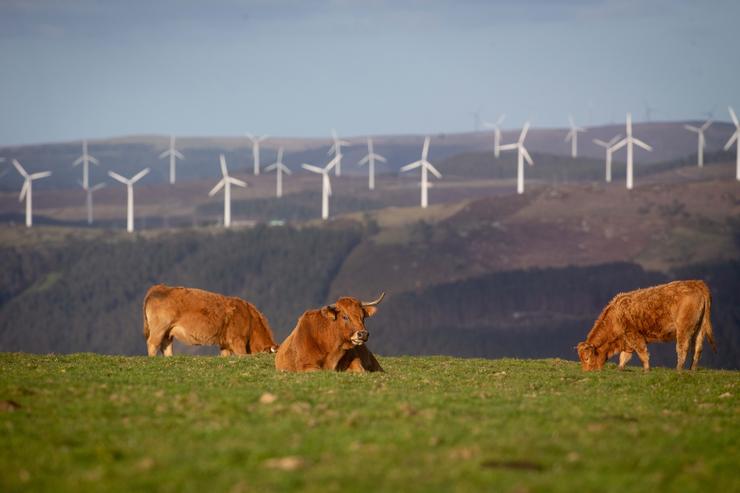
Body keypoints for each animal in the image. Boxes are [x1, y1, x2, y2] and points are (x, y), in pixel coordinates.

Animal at [142, 284, 278, 358]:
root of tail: (158, 288)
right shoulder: (237, 341)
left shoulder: (225, 344)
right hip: (159, 328)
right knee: (152, 343)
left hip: (168, 332)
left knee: (166, 346)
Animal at [580, 278, 716, 370]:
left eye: (587, 358)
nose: (587, 372)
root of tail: (696, 283)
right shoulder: (627, 342)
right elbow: (624, 358)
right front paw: (620, 369)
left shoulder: (634, 335)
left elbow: (642, 354)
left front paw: (646, 370)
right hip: (699, 329)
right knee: (697, 348)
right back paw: (692, 370)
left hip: (684, 328)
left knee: (682, 348)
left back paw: (678, 370)